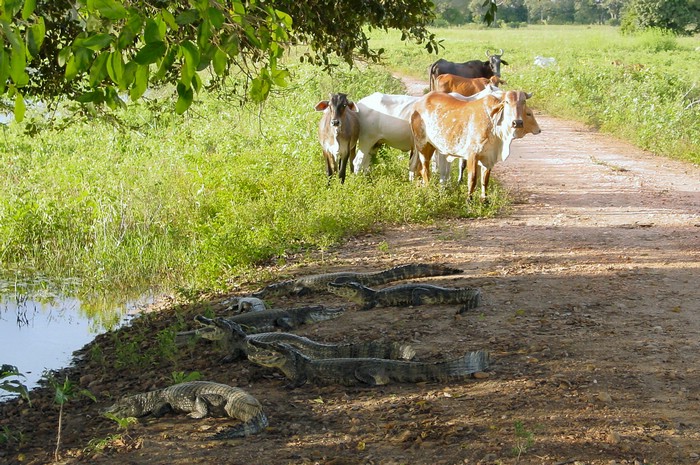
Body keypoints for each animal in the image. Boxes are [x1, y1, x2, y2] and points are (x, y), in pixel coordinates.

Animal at [410, 89, 540, 201]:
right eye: (506, 102)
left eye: (523, 102)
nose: (517, 122)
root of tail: (419, 102)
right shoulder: (472, 155)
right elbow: (472, 179)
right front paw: (469, 199)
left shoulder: (489, 158)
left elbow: (484, 180)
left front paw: (484, 199)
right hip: (422, 145)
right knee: (425, 170)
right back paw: (429, 189)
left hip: (433, 146)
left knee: (420, 169)